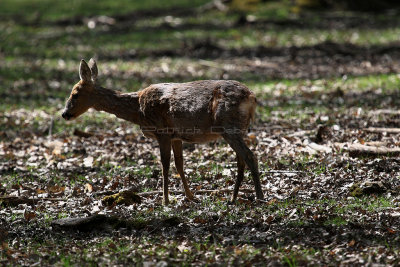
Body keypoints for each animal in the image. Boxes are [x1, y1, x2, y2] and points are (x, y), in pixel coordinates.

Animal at [61, 58, 264, 205]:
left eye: (75, 94)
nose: (64, 114)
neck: (138, 110)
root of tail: (252, 97)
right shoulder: (176, 136)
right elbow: (179, 165)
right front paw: (191, 197)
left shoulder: (162, 132)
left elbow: (165, 165)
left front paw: (165, 200)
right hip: (237, 129)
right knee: (241, 160)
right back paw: (233, 198)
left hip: (228, 126)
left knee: (250, 156)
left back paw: (259, 197)